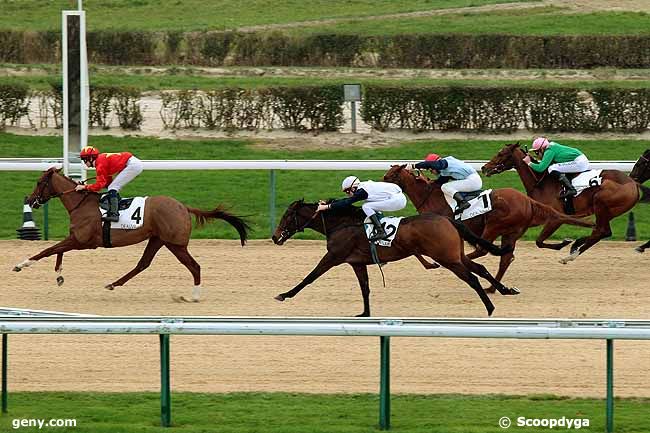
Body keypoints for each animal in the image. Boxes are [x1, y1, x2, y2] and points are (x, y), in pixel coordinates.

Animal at [13, 167, 251, 302]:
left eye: (38, 182)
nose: (31, 200)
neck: (81, 204)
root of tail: (183, 206)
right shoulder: (76, 239)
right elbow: (57, 251)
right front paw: (59, 275)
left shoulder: (81, 241)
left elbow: (48, 250)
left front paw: (21, 264)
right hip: (158, 240)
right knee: (143, 264)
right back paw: (113, 284)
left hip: (176, 244)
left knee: (194, 267)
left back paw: (194, 296)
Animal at [268, 197, 516, 316]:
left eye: (287, 216)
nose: (275, 236)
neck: (342, 224)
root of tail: (448, 219)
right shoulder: (356, 263)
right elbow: (365, 287)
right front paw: (365, 313)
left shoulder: (334, 256)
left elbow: (309, 277)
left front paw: (284, 294)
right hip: (455, 255)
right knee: (480, 269)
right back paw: (506, 290)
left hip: (447, 258)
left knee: (472, 278)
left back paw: (490, 308)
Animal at [382, 164, 596, 288]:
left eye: (391, 175)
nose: (381, 183)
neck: (430, 196)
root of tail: (527, 200)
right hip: (511, 231)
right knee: (505, 258)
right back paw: (493, 287)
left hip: (494, 225)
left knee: (484, 250)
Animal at [480, 143, 648, 262]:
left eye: (501, 153)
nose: (484, 167)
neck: (540, 183)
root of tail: (633, 182)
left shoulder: (555, 218)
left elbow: (539, 241)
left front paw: (564, 242)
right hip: (608, 212)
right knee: (601, 231)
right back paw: (576, 246)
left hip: (600, 202)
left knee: (601, 231)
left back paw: (571, 255)